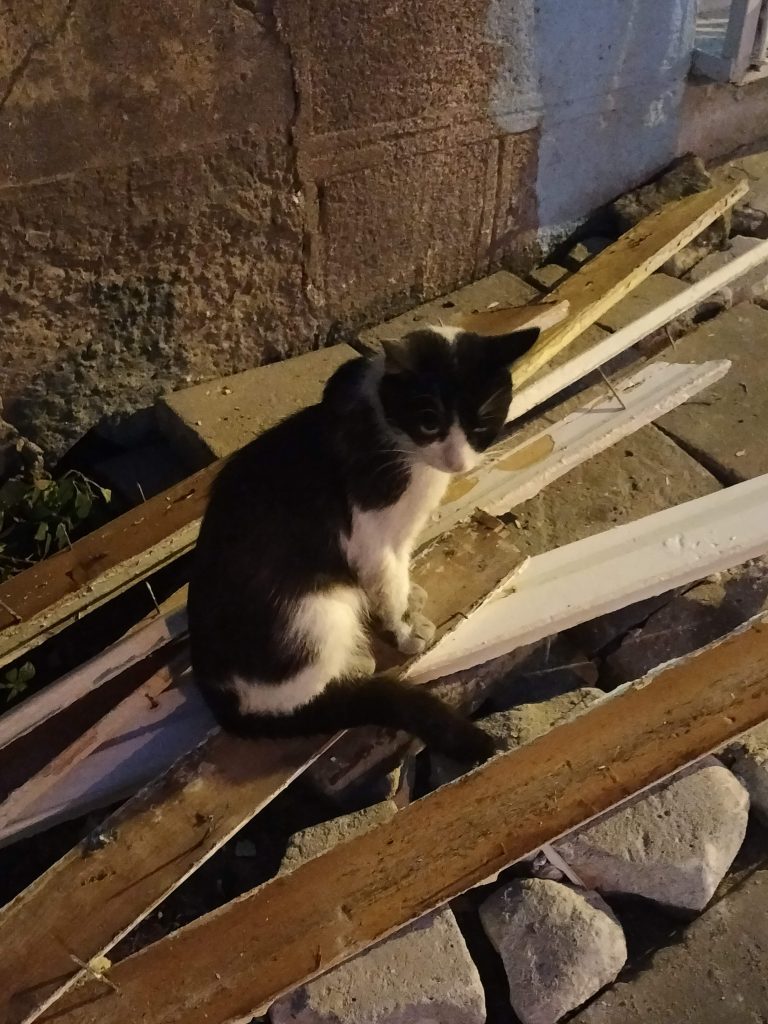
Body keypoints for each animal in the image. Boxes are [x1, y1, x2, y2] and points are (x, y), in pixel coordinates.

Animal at [188, 323, 540, 765]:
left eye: (481, 426)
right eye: (429, 424)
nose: (457, 463)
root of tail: (220, 698)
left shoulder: (401, 535)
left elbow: (399, 573)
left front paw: (411, 598)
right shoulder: (369, 537)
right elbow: (387, 584)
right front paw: (404, 630)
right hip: (316, 610)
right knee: (300, 693)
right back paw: (352, 664)